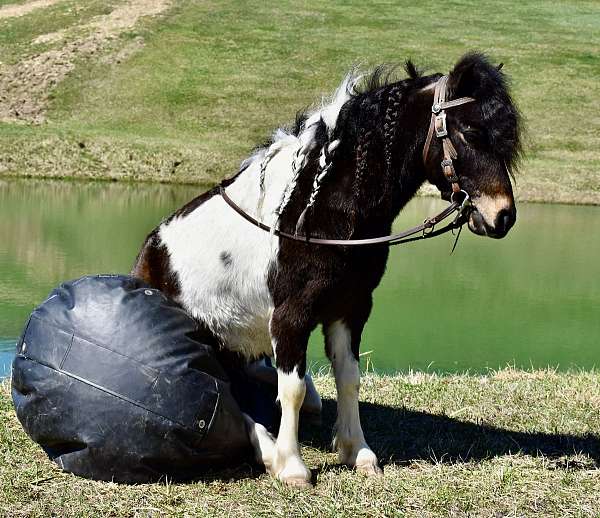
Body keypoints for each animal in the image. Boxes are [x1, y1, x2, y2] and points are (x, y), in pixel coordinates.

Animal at [132, 52, 520, 488]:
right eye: (470, 131)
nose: (503, 215)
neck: (317, 212)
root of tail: (151, 247)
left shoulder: (351, 308)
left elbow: (348, 379)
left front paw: (358, 451)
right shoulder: (291, 315)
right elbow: (292, 388)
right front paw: (291, 465)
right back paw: (267, 448)